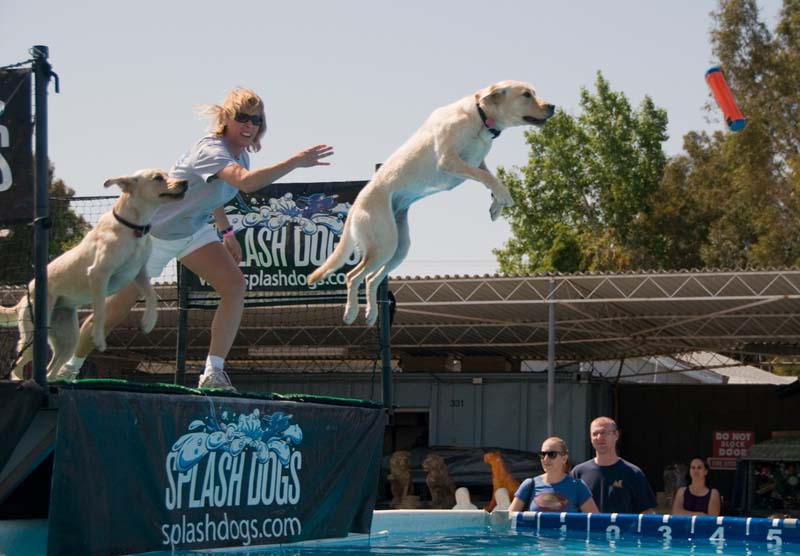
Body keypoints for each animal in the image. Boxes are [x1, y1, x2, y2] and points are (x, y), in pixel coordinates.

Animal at [0, 169, 187, 380]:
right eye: (158, 178)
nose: (185, 182)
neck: (133, 227)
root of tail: (25, 296)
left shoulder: (139, 272)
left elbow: (152, 296)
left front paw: (149, 321)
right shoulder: (99, 274)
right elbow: (100, 310)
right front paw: (98, 339)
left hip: (66, 337)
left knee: (51, 368)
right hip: (34, 331)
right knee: (18, 363)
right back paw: (19, 378)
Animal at [308, 80, 555, 325]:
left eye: (533, 93)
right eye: (526, 95)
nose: (552, 106)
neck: (481, 115)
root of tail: (355, 206)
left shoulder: (478, 162)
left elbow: (489, 177)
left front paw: (496, 204)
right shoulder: (450, 161)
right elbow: (487, 177)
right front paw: (503, 196)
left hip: (399, 247)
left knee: (371, 279)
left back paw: (371, 314)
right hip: (383, 242)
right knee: (353, 276)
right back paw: (350, 312)